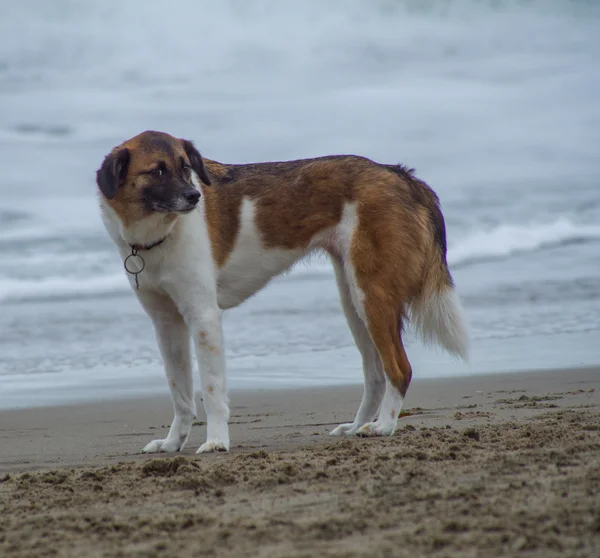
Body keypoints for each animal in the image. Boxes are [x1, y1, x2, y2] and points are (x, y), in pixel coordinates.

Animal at [96, 130, 468, 456]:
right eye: (157, 170)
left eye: (186, 167)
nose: (194, 197)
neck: (160, 232)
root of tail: (398, 173)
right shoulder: (167, 325)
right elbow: (181, 395)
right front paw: (173, 443)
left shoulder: (203, 318)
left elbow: (212, 391)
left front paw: (216, 441)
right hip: (354, 301)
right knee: (376, 375)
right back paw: (356, 426)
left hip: (372, 297)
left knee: (399, 369)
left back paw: (384, 426)